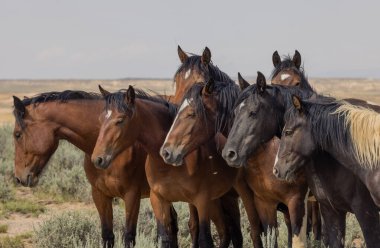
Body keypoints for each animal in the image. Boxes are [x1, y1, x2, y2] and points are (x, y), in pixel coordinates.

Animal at [90, 85, 242, 248]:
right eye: (100, 119)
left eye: (120, 120)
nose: (97, 159)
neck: (169, 166)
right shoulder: (158, 200)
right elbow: (164, 238)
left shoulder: (202, 202)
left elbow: (205, 240)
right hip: (215, 202)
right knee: (224, 232)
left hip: (228, 198)